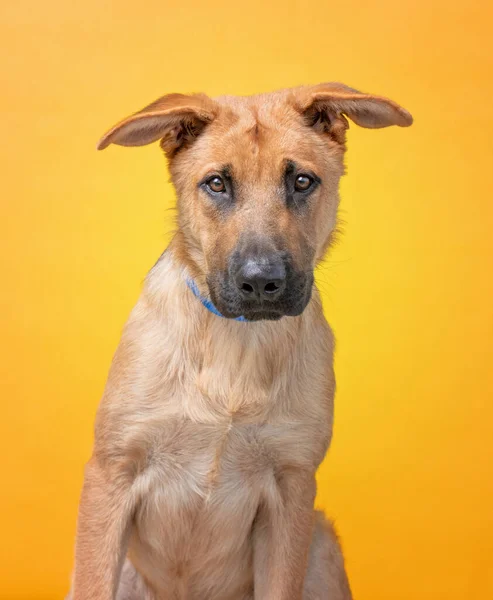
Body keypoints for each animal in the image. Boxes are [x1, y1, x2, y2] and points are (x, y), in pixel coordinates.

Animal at [67, 81, 410, 600]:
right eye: (216, 184)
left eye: (302, 181)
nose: (261, 282)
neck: (237, 343)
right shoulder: (113, 471)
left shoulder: (292, 488)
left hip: (322, 543)